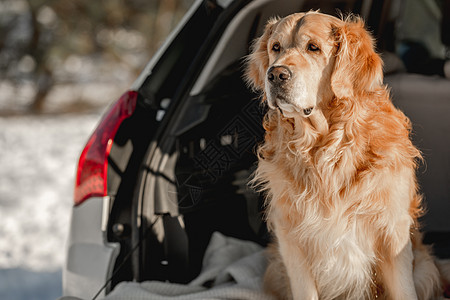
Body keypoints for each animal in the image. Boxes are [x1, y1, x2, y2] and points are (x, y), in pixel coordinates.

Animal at [244, 10, 442, 298]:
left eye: (313, 47)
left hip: (426, 270)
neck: (326, 147)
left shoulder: (393, 233)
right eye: (276, 48)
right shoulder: (292, 240)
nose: (276, 74)